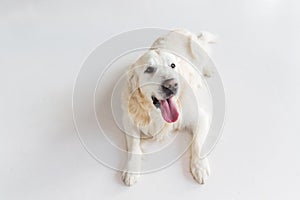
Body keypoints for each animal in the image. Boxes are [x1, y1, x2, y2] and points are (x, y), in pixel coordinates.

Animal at [121, 28, 216, 185]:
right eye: (149, 69)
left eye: (172, 66)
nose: (171, 85)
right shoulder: (129, 119)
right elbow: (134, 145)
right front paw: (132, 169)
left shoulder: (200, 117)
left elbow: (197, 144)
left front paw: (199, 166)